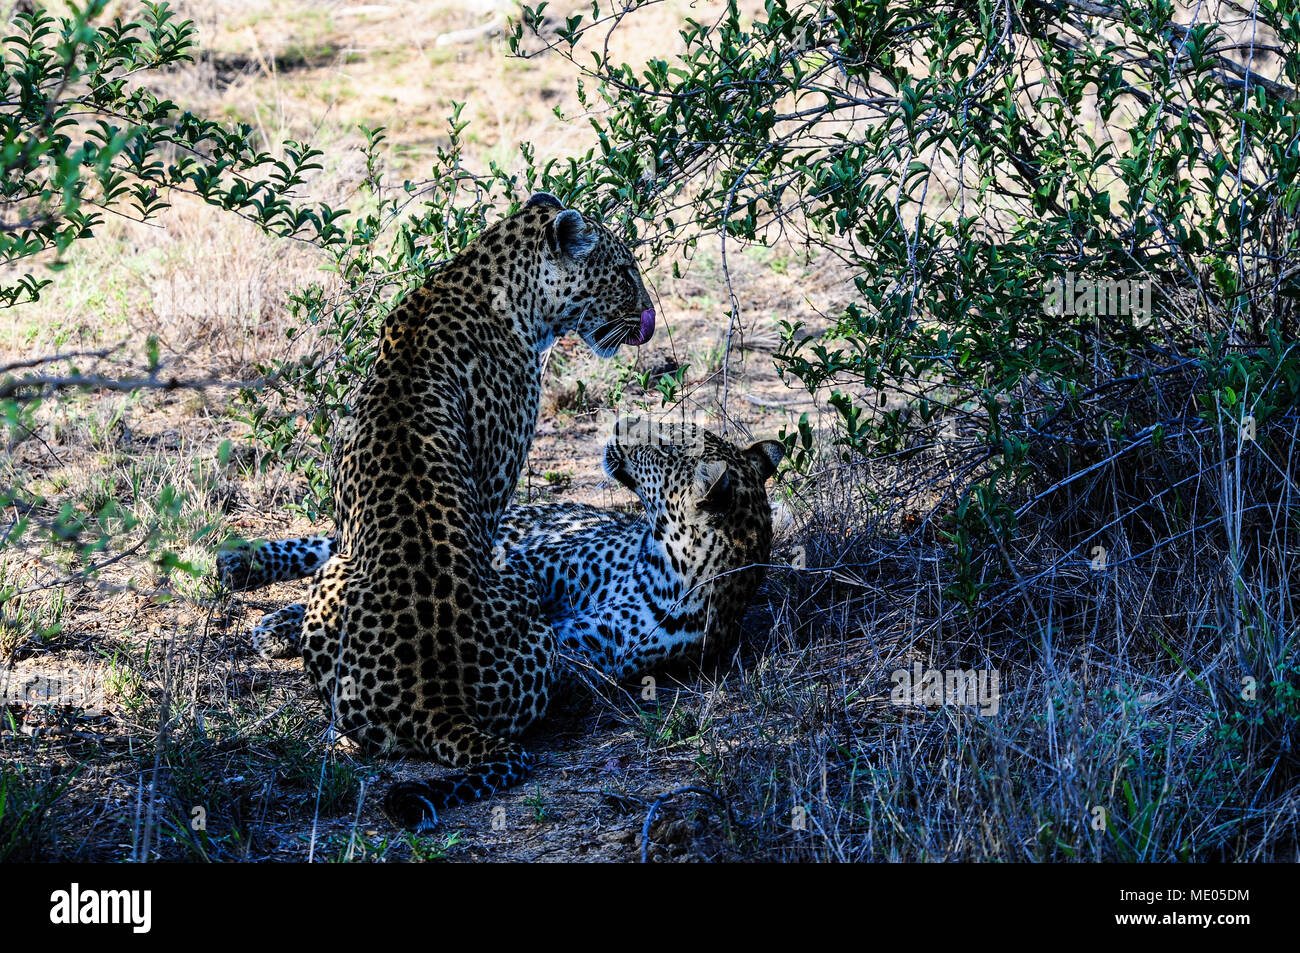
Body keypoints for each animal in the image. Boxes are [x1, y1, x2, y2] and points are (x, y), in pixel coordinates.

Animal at [218, 421, 780, 821]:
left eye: (662, 448)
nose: (620, 432)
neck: (668, 560)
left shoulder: (581, 648)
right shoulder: (538, 564)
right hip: (476, 526)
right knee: (334, 544)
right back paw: (247, 574)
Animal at [261, 193, 650, 826]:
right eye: (622, 273)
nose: (647, 315)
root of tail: (438, 699)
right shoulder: (493, 487)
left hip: (336, 575)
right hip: (512, 588)